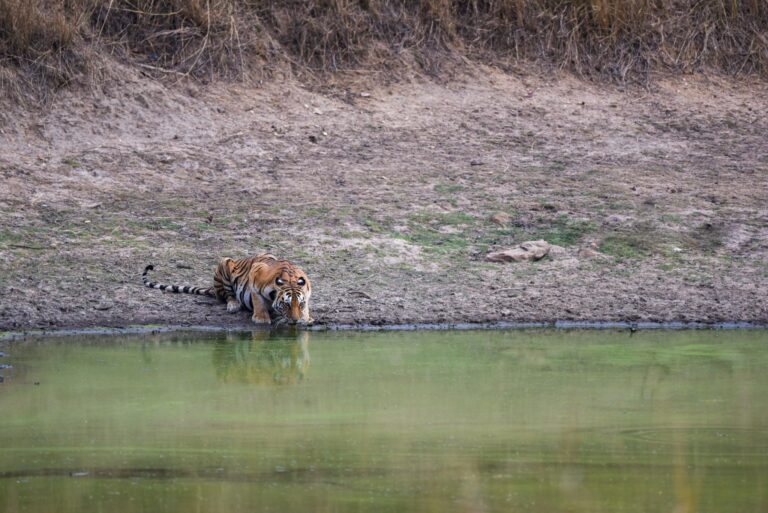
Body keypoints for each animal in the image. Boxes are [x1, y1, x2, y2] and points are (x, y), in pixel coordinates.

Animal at [142, 253, 313, 326]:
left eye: (300, 304)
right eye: (286, 304)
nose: (295, 320)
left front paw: (306, 318)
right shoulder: (255, 275)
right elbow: (258, 302)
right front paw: (261, 319)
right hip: (224, 264)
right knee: (227, 295)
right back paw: (233, 305)